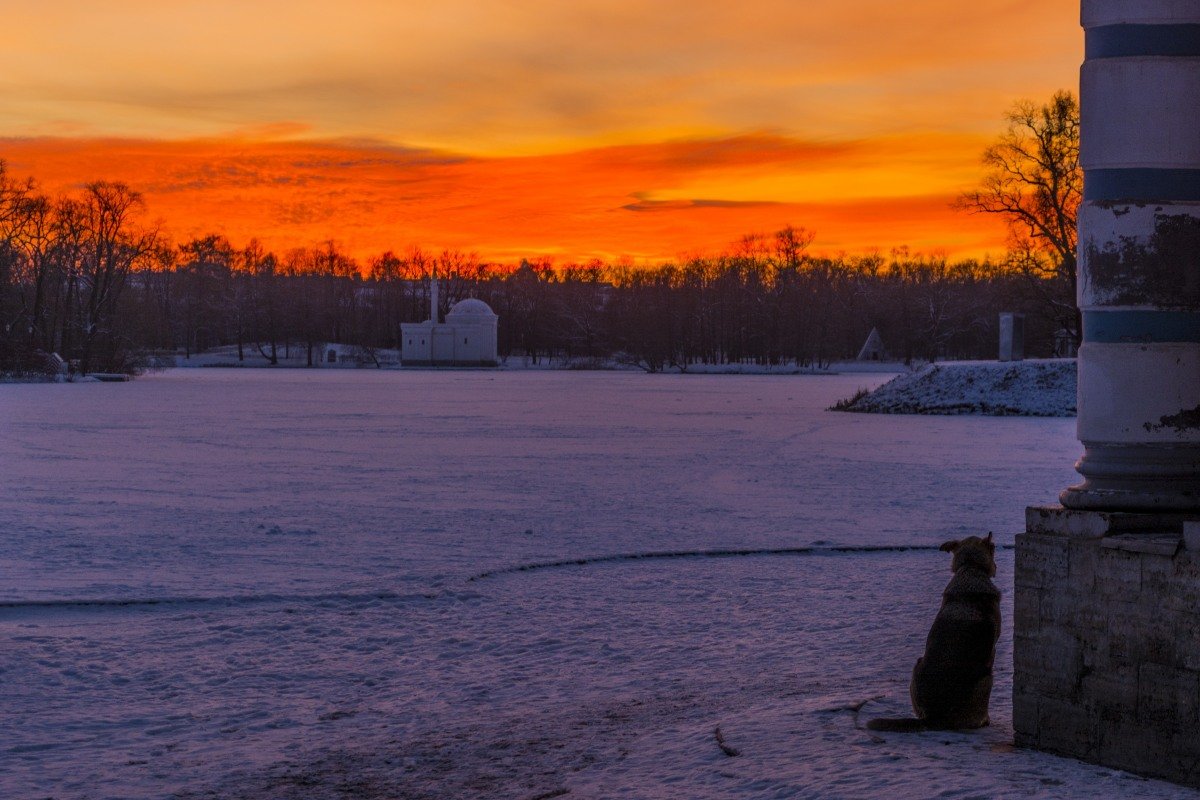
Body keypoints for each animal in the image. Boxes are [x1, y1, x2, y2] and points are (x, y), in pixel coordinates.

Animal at [864, 532, 1003, 734]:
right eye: (993, 548)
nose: (996, 567)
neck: (970, 567)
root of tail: (932, 718)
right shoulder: (992, 649)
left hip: (917, 665)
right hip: (986, 679)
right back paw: (984, 721)